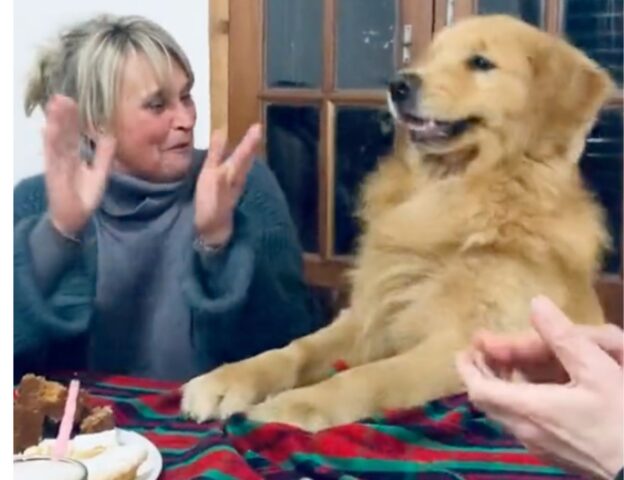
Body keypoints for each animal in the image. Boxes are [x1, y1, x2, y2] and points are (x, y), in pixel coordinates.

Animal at [180, 15, 616, 432]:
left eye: (481, 62)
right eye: (431, 57)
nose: (399, 84)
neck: (451, 196)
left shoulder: (468, 342)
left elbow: (371, 376)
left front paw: (298, 404)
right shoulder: (372, 316)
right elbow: (296, 350)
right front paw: (227, 380)